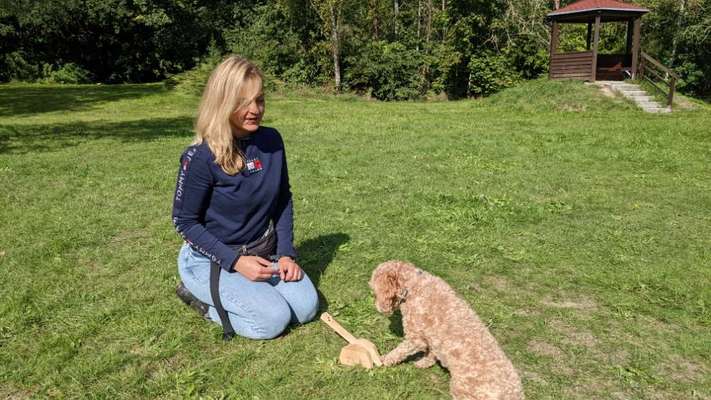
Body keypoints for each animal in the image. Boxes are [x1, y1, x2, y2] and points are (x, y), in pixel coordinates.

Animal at [370, 260, 524, 398]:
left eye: (374, 292)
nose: (378, 308)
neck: (415, 285)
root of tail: (513, 395)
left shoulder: (416, 338)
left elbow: (399, 351)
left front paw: (384, 360)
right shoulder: (434, 338)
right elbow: (432, 353)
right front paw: (424, 363)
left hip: (461, 388)